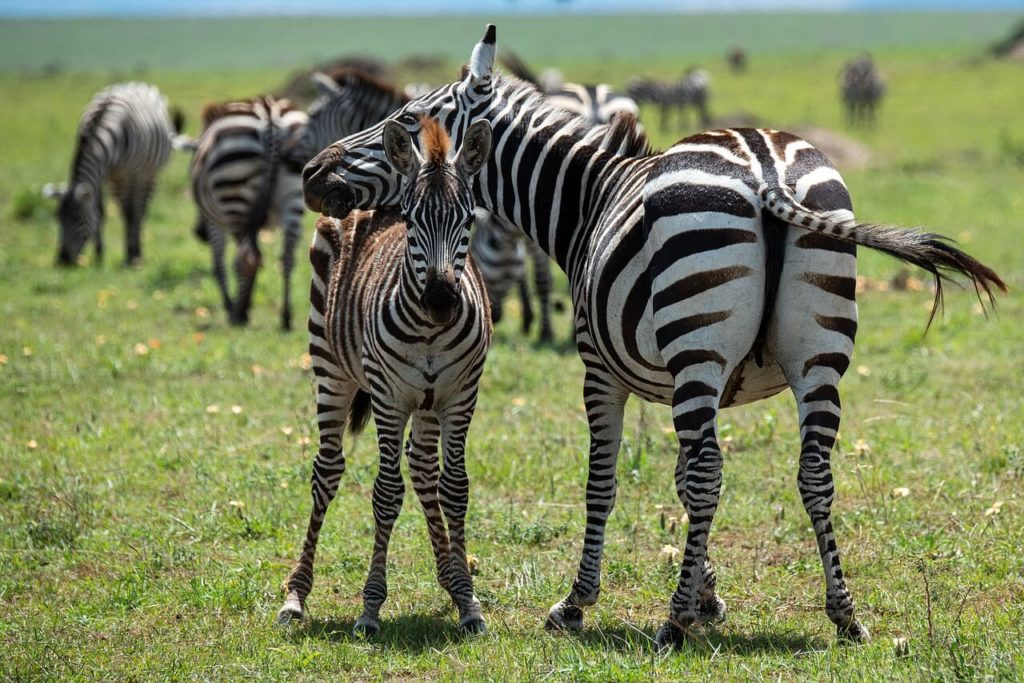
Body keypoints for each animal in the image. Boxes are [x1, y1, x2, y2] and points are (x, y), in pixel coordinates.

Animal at [54, 82, 183, 266]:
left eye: (78, 219)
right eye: (57, 218)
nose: (62, 260)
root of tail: (134, 84)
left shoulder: (133, 173)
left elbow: (133, 212)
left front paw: (132, 255)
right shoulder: (101, 176)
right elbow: (100, 212)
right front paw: (99, 255)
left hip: (148, 173)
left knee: (140, 209)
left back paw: (136, 251)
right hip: (118, 178)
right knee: (124, 207)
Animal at [189, 96, 307, 331]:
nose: (199, 233)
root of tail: (271, 118)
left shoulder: (215, 223)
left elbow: (219, 263)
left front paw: (233, 306)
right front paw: (248, 304)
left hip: (233, 195)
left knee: (245, 258)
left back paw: (236, 313)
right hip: (294, 194)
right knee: (286, 257)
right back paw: (286, 317)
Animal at [276, 116, 491, 634]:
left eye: (469, 221)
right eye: (412, 222)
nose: (441, 300)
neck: (430, 329)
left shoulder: (461, 397)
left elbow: (455, 488)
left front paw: (468, 600)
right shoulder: (389, 399)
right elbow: (386, 494)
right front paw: (371, 607)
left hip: (427, 403)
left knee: (425, 469)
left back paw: (450, 579)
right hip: (331, 370)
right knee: (327, 471)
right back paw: (295, 596)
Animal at [303, 24, 1007, 651]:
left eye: (409, 120)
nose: (312, 174)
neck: (589, 200)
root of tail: (764, 166)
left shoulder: (602, 368)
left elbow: (606, 478)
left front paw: (582, 602)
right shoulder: (684, 382)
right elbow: (681, 479)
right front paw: (708, 595)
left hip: (701, 343)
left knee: (713, 471)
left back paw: (670, 624)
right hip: (816, 356)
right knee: (810, 473)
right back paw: (844, 615)